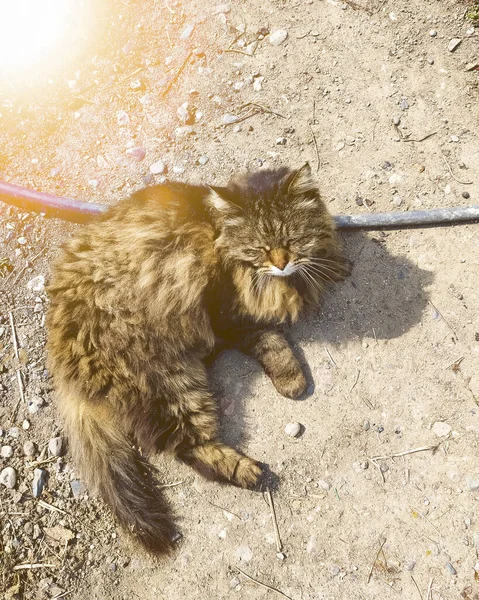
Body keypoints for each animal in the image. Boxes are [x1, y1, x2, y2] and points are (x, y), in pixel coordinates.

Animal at [47, 163, 350, 552]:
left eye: (291, 242)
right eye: (260, 248)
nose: (281, 264)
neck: (219, 234)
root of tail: (60, 352)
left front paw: (333, 264)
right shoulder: (229, 315)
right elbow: (272, 339)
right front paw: (292, 379)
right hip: (171, 384)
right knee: (187, 447)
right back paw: (248, 471)